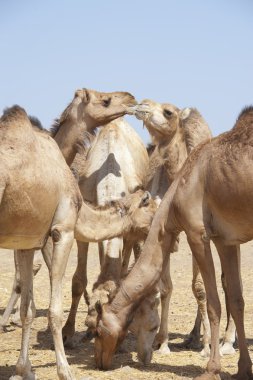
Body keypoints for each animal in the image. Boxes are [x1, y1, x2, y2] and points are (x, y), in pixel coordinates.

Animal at [93, 104, 253, 380]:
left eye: (97, 330)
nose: (98, 361)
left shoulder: (197, 233)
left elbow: (213, 301)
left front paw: (211, 368)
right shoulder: (226, 240)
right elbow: (236, 299)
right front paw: (244, 368)